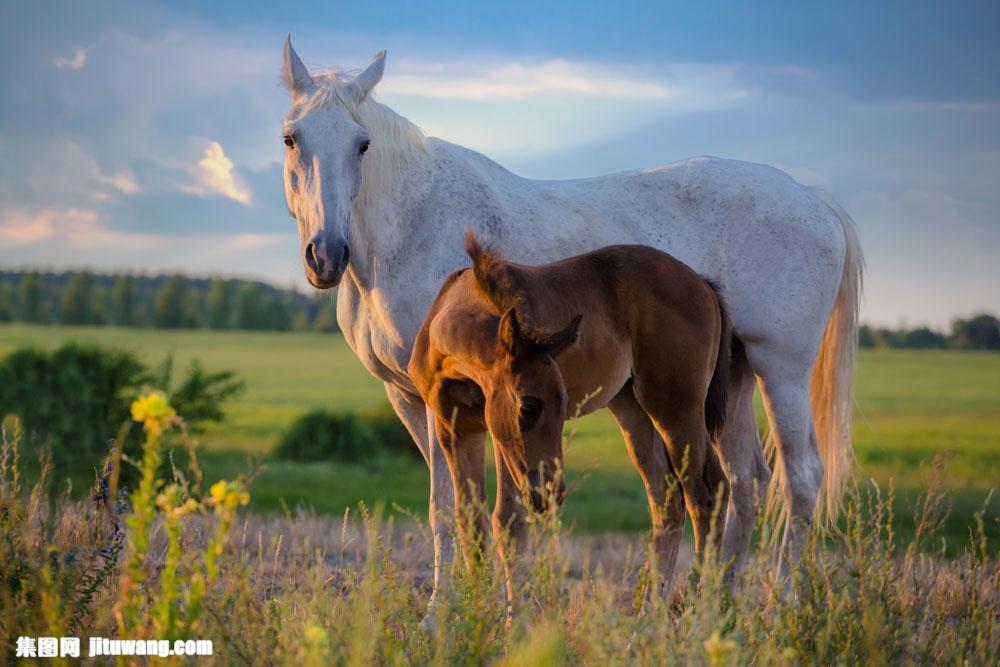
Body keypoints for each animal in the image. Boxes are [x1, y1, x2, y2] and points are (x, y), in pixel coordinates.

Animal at [410, 234, 732, 588]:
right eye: (528, 406)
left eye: (565, 404)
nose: (550, 495)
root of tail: (703, 284)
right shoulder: (455, 430)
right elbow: (470, 521)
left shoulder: (499, 434)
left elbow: (508, 520)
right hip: (632, 408)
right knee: (667, 499)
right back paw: (652, 601)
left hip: (676, 405)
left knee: (706, 489)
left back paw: (698, 596)